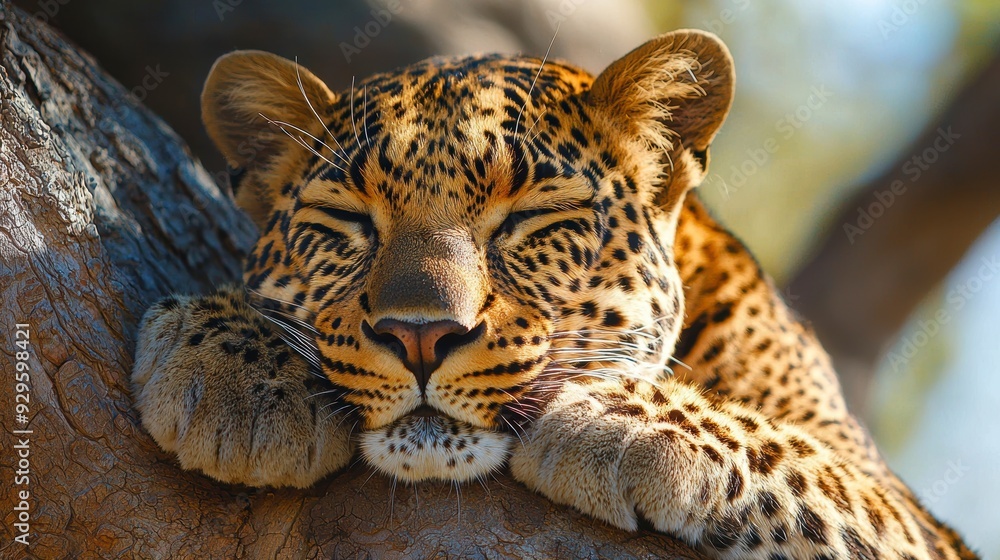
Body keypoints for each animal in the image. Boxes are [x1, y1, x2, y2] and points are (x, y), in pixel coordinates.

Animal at [131, 29, 977, 559]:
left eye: (530, 218)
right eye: (347, 220)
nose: (419, 335)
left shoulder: (913, 517)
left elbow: (800, 455)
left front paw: (616, 417)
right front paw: (240, 367)